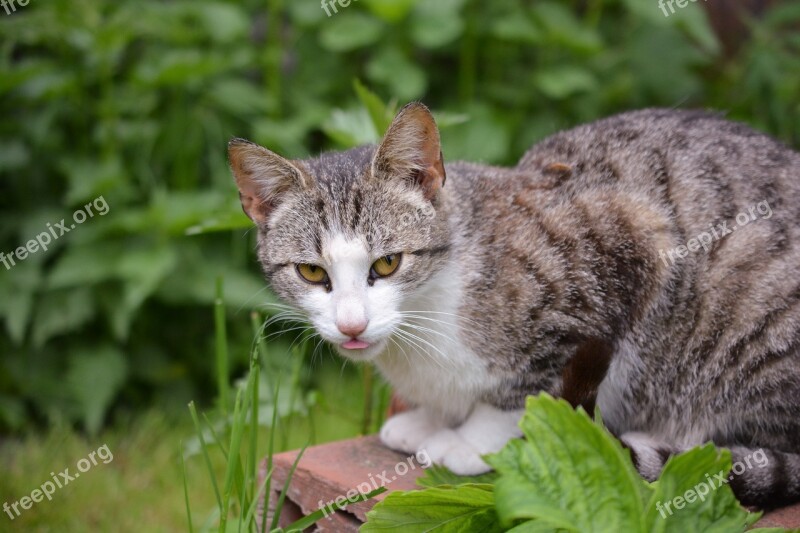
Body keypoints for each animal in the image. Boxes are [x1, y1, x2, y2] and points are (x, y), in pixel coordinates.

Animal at [230, 104, 800, 508]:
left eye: (387, 264)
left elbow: (531, 384)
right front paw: (429, 418)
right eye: (311, 272)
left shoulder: (633, 240)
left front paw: (472, 439)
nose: (352, 325)